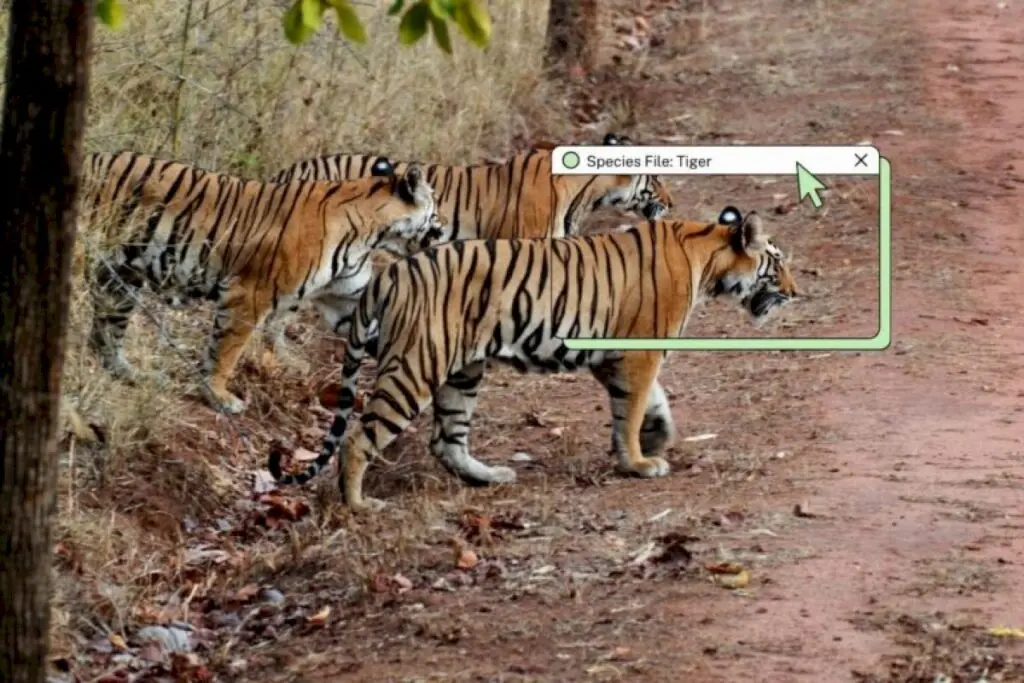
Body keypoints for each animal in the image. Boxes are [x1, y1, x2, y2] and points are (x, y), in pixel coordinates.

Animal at [78, 150, 444, 415]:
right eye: (436, 210)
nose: (443, 233)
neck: (371, 232)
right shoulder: (250, 294)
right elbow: (227, 350)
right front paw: (220, 397)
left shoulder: (348, 298)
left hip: (122, 279)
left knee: (106, 333)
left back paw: (131, 374)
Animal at [267, 206, 800, 512]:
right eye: (777, 263)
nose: (797, 292)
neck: (705, 257)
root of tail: (390, 274)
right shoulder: (640, 351)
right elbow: (633, 407)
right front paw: (638, 462)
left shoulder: (613, 356)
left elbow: (649, 403)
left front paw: (656, 438)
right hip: (416, 367)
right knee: (359, 439)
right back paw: (360, 505)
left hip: (462, 371)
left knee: (446, 440)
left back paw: (490, 477)